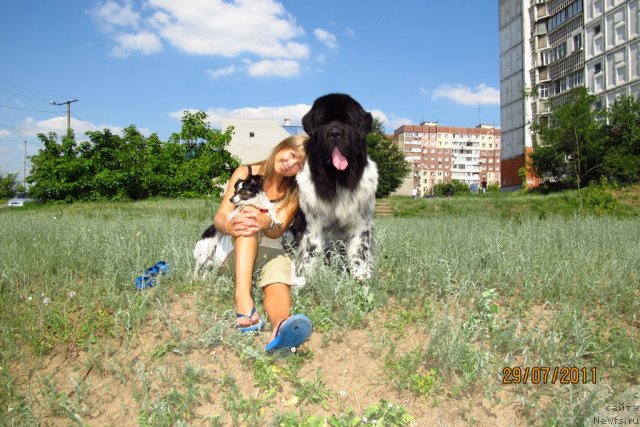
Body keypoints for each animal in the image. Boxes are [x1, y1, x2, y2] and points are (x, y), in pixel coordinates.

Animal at [294, 93, 378, 280]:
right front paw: (310, 276)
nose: (334, 133)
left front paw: (361, 276)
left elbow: (360, 250)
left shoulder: (361, 222)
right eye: (324, 122)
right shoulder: (313, 222)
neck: (337, 179)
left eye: (347, 121)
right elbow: (312, 249)